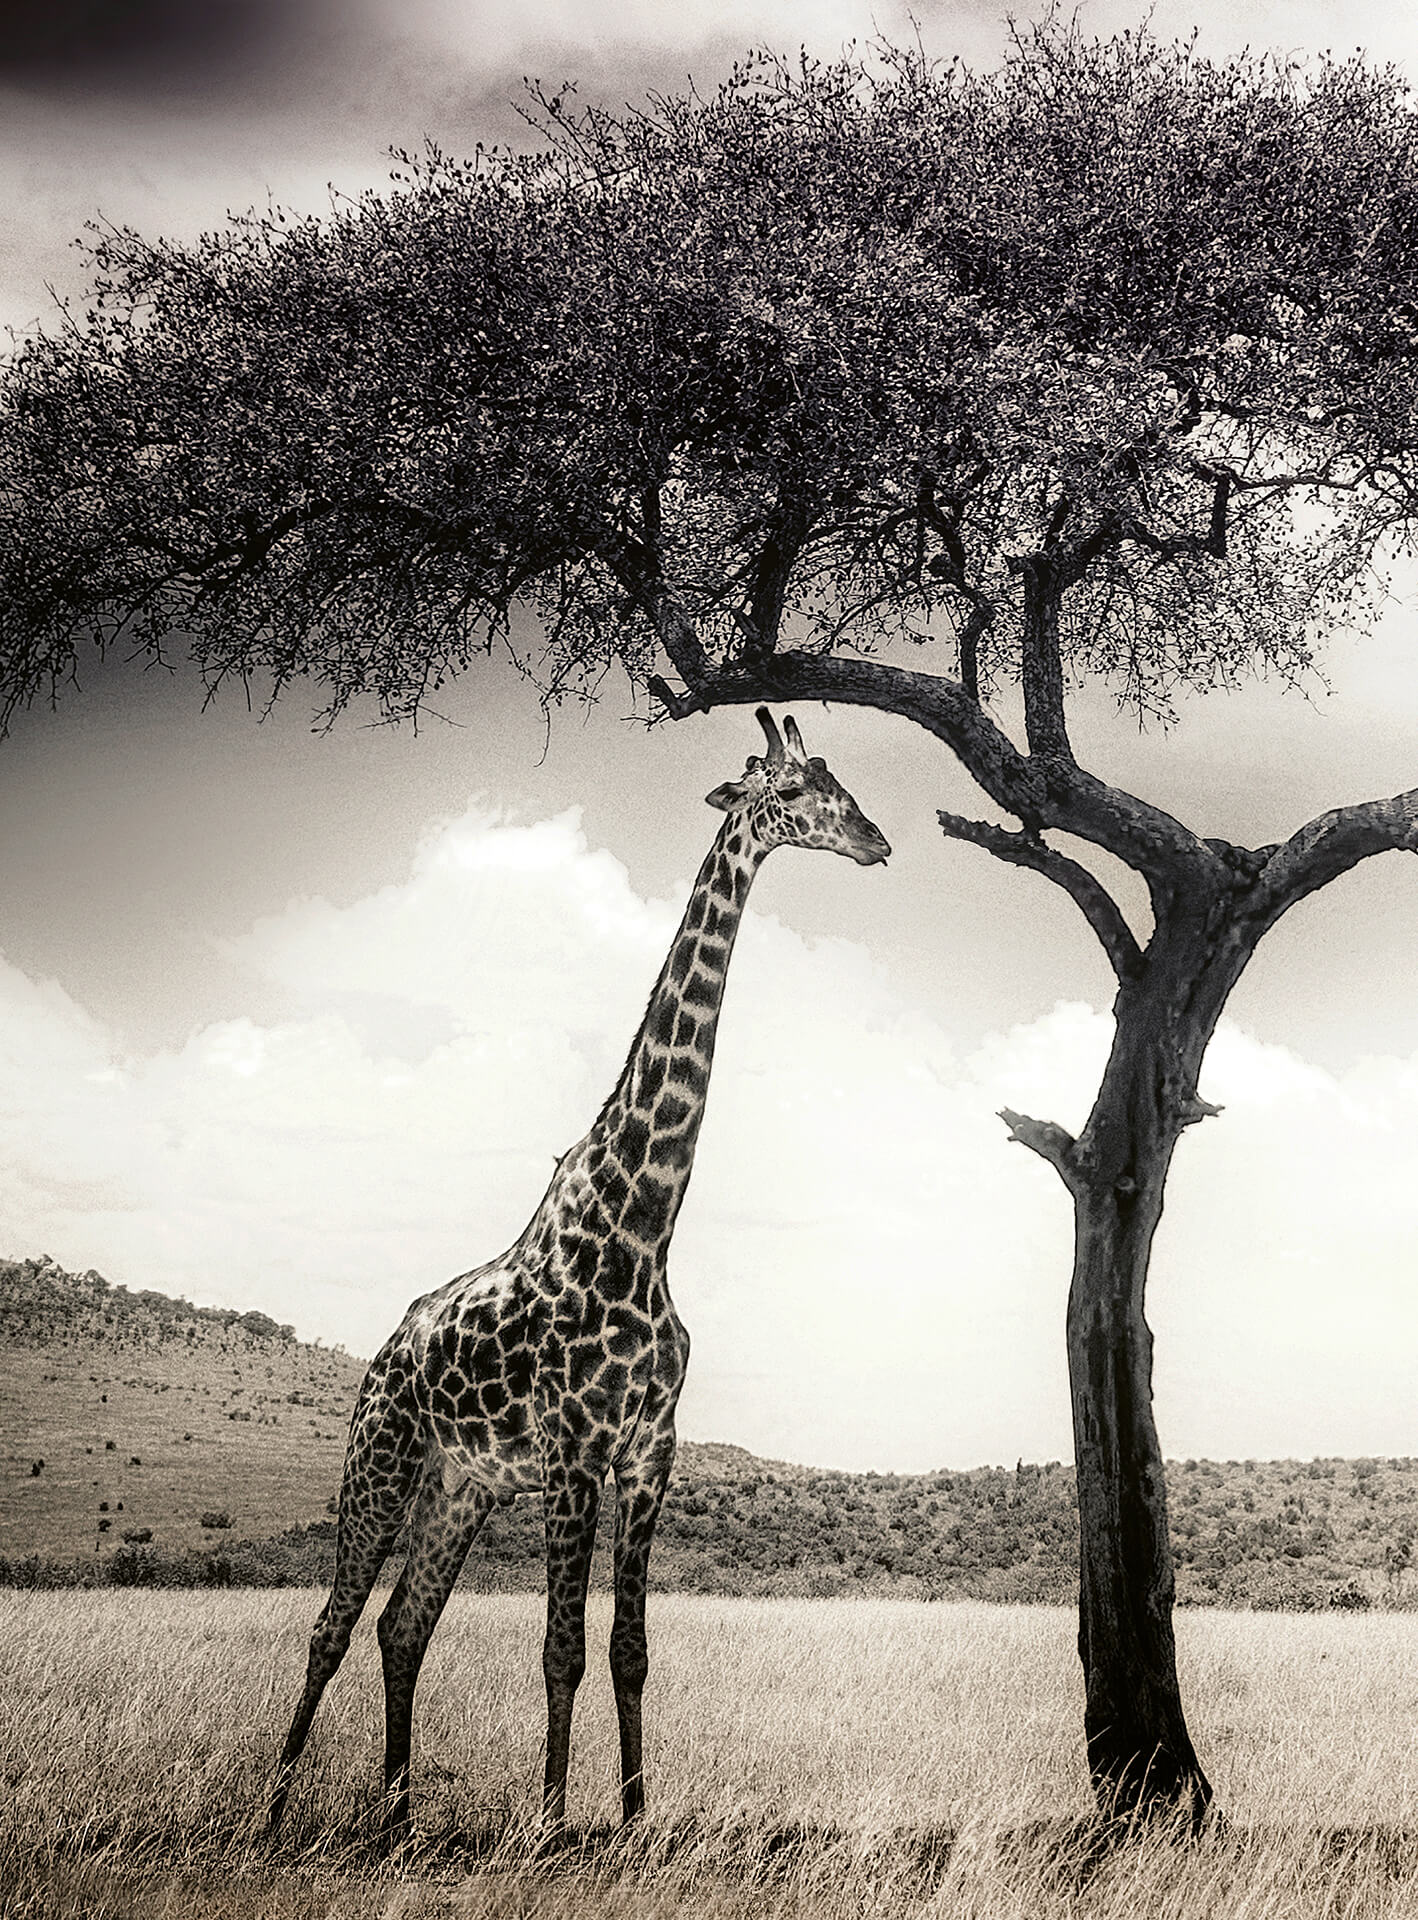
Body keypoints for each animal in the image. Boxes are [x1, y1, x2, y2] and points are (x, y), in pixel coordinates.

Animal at [266, 708, 890, 1839]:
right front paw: (554, 1824)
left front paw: (636, 1821)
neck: (643, 1230)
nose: (875, 841)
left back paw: (399, 1813)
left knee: (400, 1628)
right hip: (379, 1460)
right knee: (332, 1627)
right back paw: (274, 1803)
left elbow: (628, 1652)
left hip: (460, 1485)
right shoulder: (571, 1455)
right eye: (791, 793)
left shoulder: (647, 1454)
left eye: (844, 785)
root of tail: (385, 1349)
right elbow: (559, 1649)